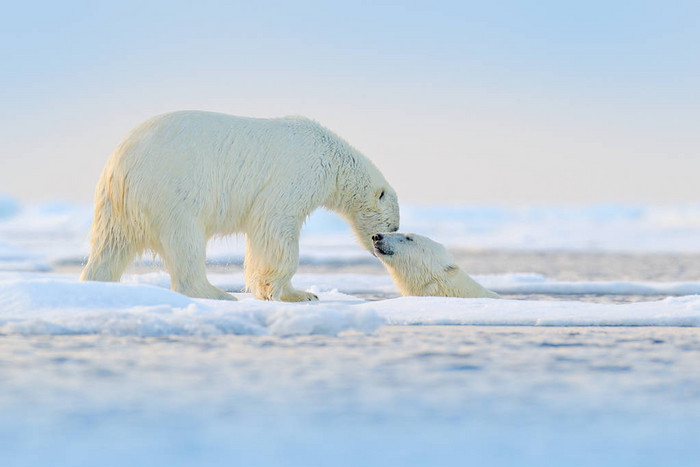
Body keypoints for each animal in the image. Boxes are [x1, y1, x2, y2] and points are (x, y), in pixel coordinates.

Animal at [80, 113, 400, 304]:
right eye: (392, 226)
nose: (378, 246)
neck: (331, 157)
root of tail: (118, 163)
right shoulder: (296, 175)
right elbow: (275, 225)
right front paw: (277, 291)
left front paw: (304, 294)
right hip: (170, 190)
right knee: (185, 241)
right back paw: (217, 294)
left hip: (118, 205)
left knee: (110, 246)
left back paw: (96, 284)